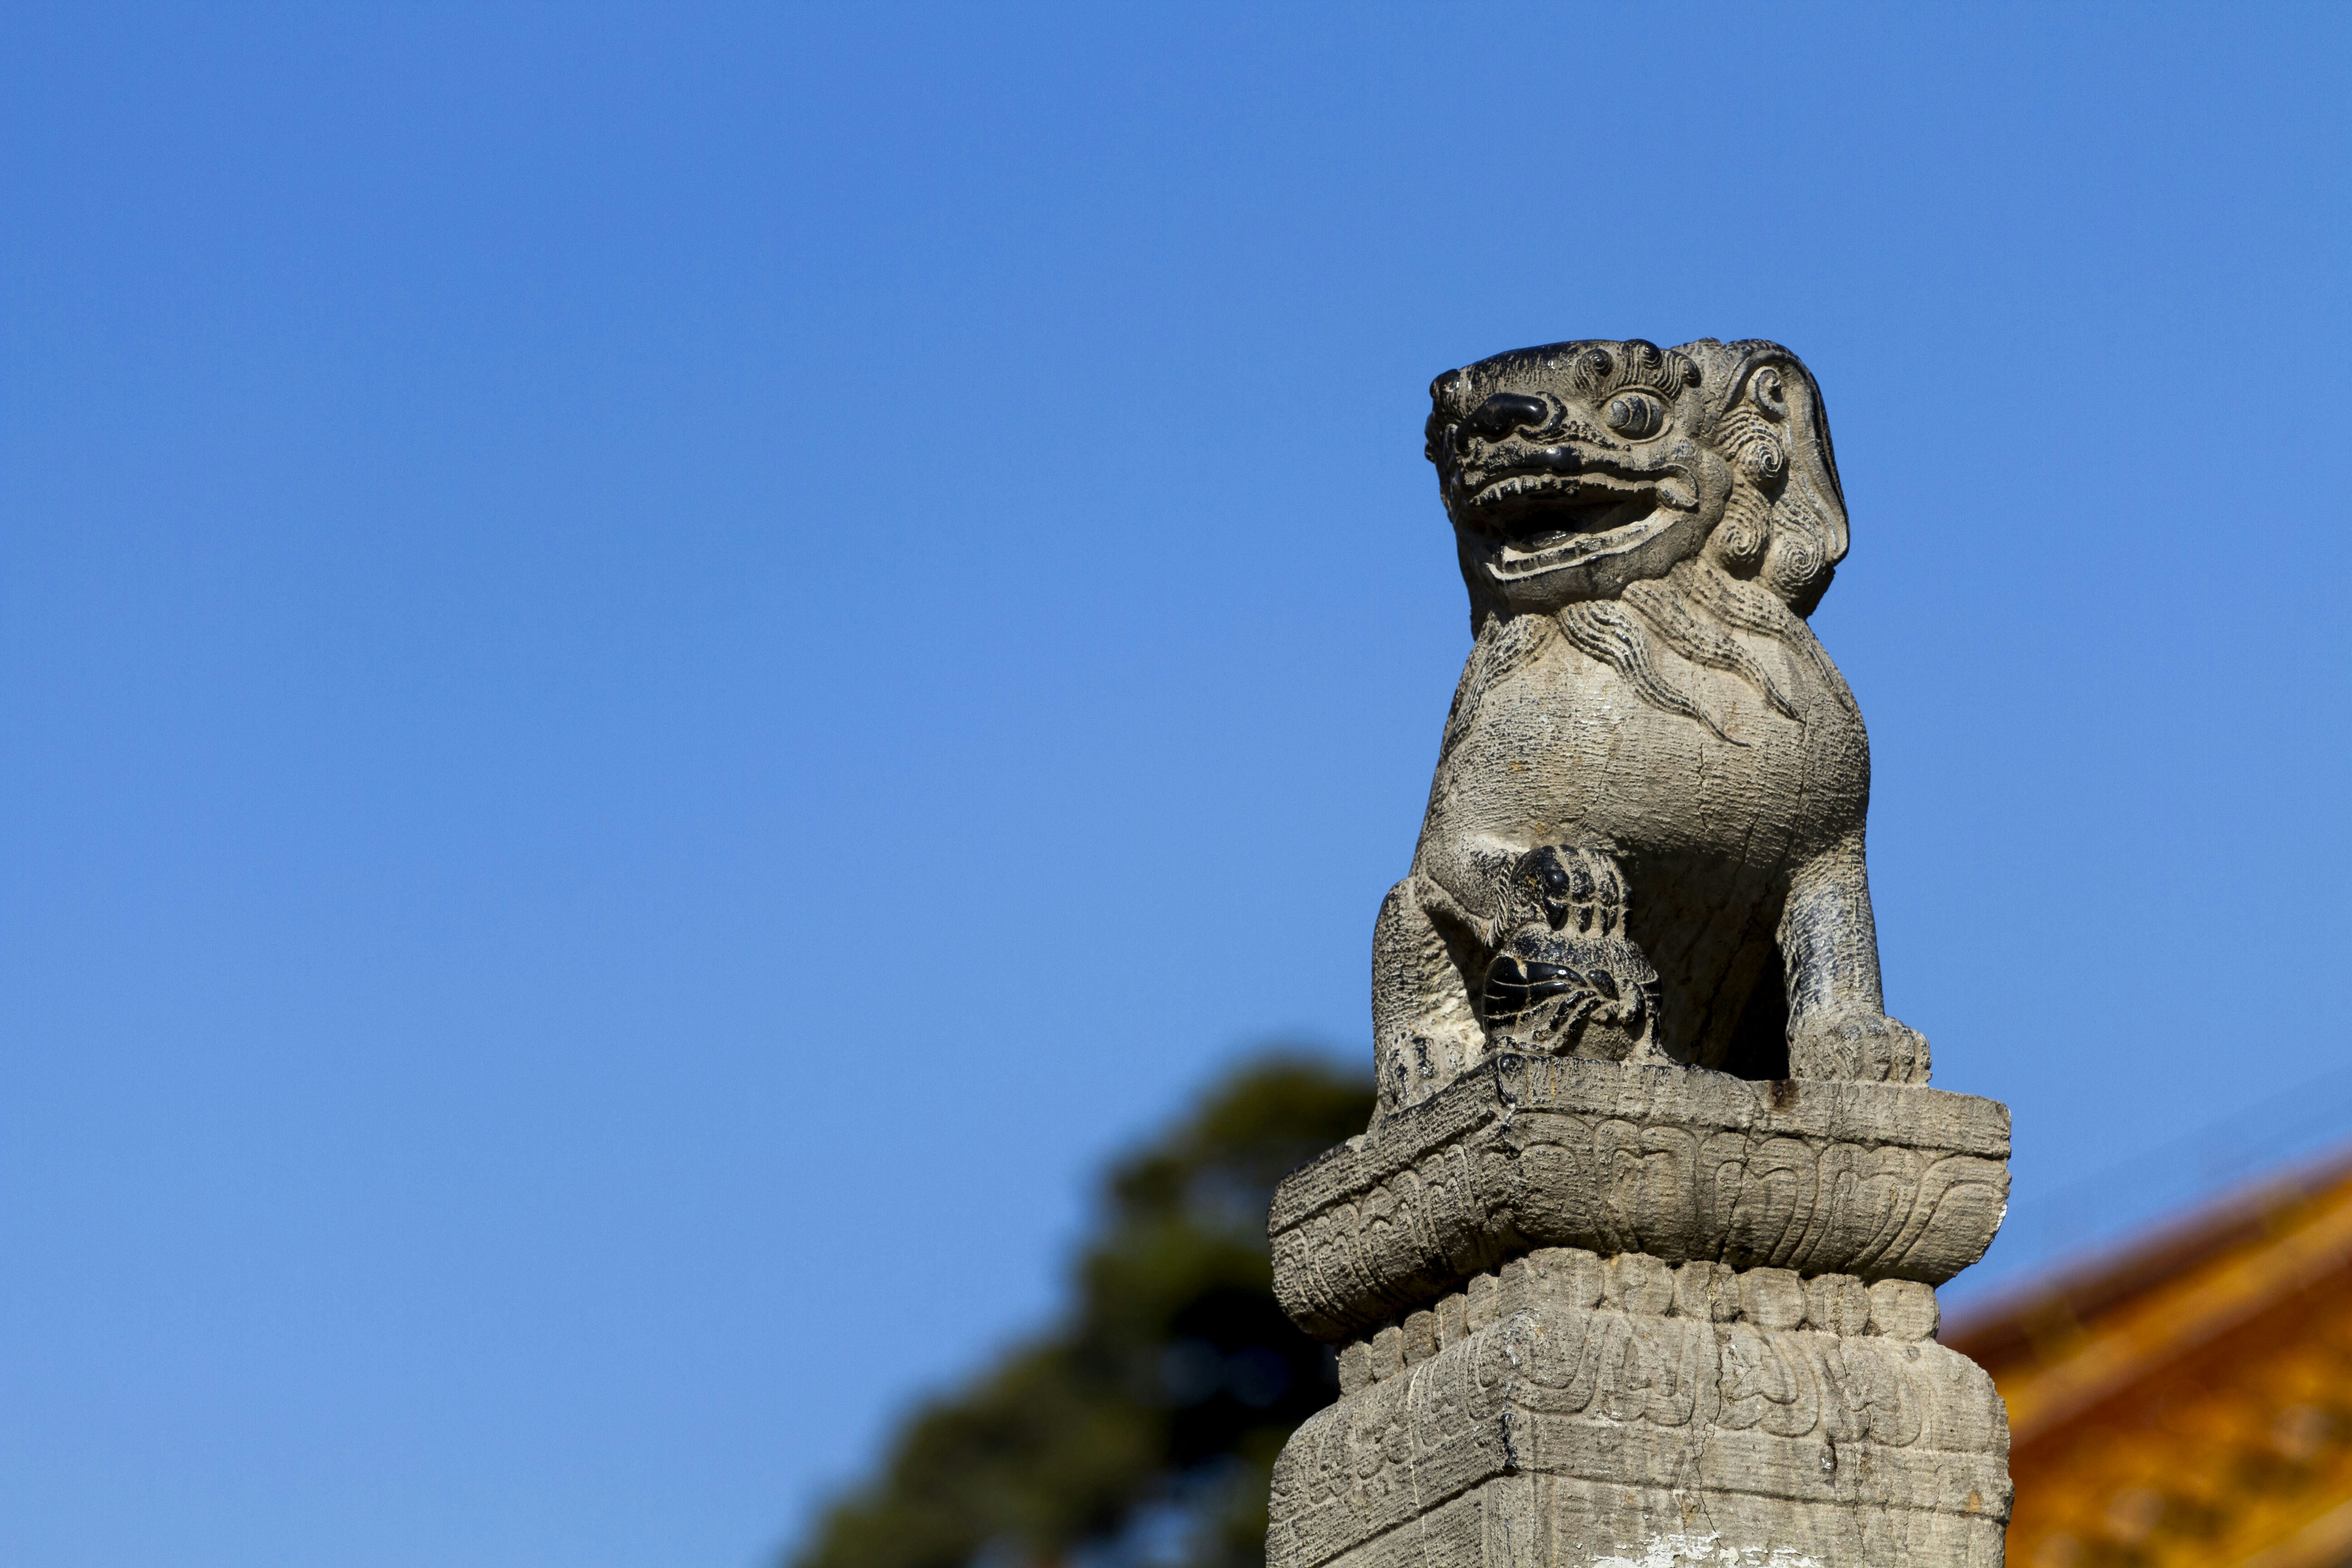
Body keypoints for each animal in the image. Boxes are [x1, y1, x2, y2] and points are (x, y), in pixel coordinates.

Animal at [1371, 337, 1929, 1120]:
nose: (1498, 421)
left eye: (1634, 412)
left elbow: (1836, 929)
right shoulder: (1471, 787)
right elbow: (1458, 857)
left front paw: (1865, 1046)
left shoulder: (1831, 828)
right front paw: (1574, 874)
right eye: (1449, 436)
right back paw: (1424, 1065)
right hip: (1408, 920)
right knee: (1402, 916)